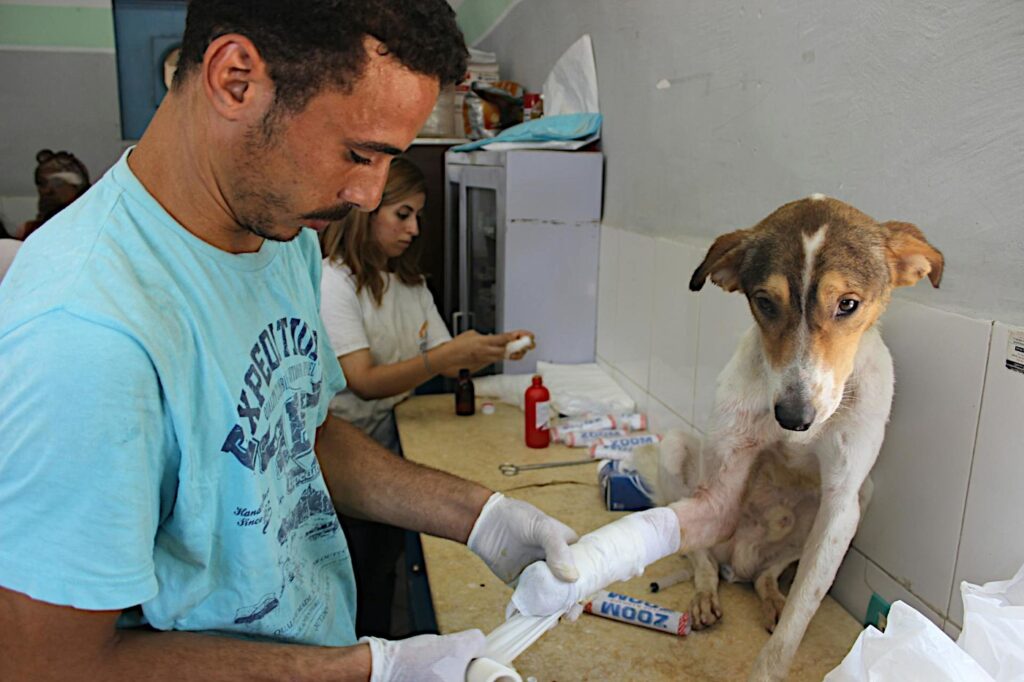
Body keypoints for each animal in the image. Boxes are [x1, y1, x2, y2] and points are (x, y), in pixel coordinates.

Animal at [643, 193, 937, 675]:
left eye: (848, 304)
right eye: (764, 302)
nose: (794, 417)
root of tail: (739, 563)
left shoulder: (841, 505)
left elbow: (794, 628)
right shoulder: (725, 473)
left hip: (859, 499)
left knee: (769, 575)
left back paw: (772, 598)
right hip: (674, 450)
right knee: (703, 560)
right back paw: (705, 595)